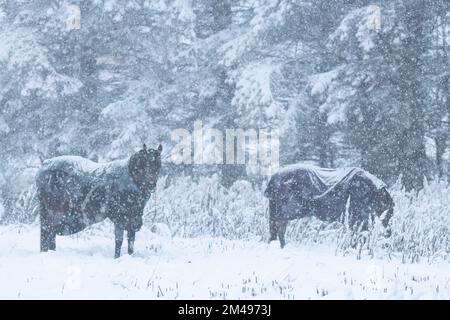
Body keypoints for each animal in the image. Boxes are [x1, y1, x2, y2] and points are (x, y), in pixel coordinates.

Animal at [264, 164, 394, 249]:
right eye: (389, 213)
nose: (389, 233)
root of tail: (273, 179)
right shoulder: (357, 216)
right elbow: (359, 234)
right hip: (287, 211)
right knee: (279, 227)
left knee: (275, 229)